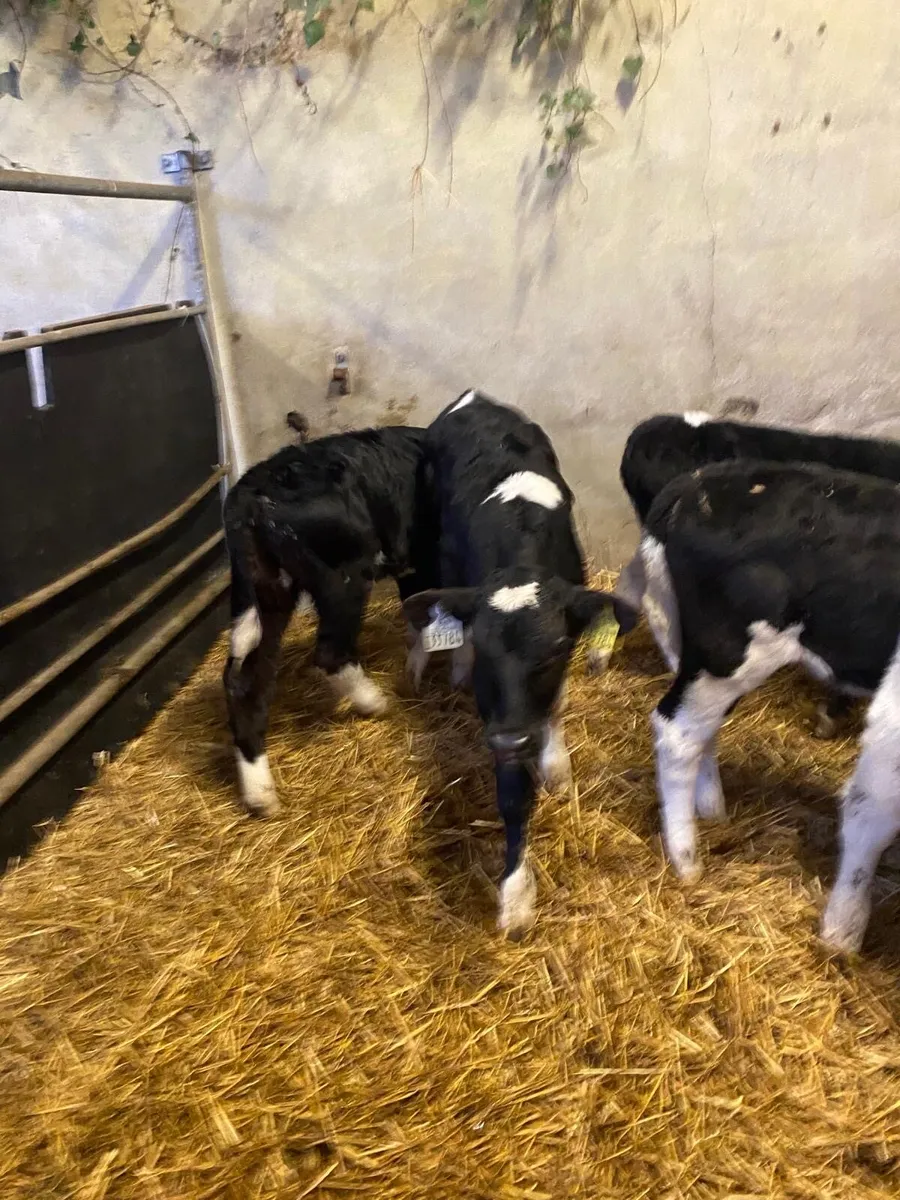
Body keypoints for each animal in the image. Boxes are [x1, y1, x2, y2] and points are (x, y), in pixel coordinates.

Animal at [223, 425, 437, 816]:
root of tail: (252, 496)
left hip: (265, 588)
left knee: (246, 682)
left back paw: (261, 795)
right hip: (343, 574)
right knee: (329, 653)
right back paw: (374, 701)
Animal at [402, 390, 628, 938]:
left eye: (556, 649)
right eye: (488, 650)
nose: (509, 740)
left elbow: (555, 711)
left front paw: (556, 765)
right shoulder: (501, 717)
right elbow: (512, 795)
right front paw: (516, 895)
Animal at [640, 457, 900, 954]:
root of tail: (698, 480)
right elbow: (871, 810)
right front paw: (842, 935)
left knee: (700, 727)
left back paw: (712, 808)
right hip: (728, 652)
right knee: (678, 732)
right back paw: (686, 860)